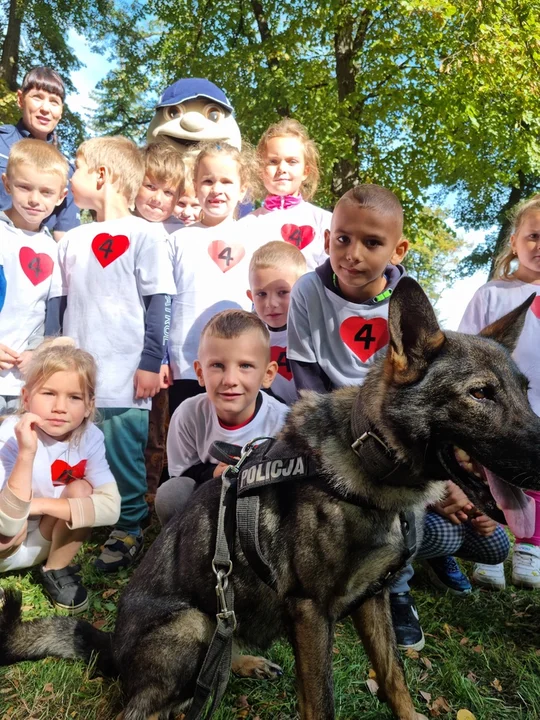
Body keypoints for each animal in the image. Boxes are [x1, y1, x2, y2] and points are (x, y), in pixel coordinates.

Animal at [1, 278, 540, 720]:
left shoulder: (373, 600)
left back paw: (242, 661)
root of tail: (112, 647)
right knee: (144, 709)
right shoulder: (312, 613)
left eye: (523, 389)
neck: (366, 457)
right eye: (480, 394)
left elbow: (394, 680)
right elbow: (321, 702)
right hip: (193, 623)